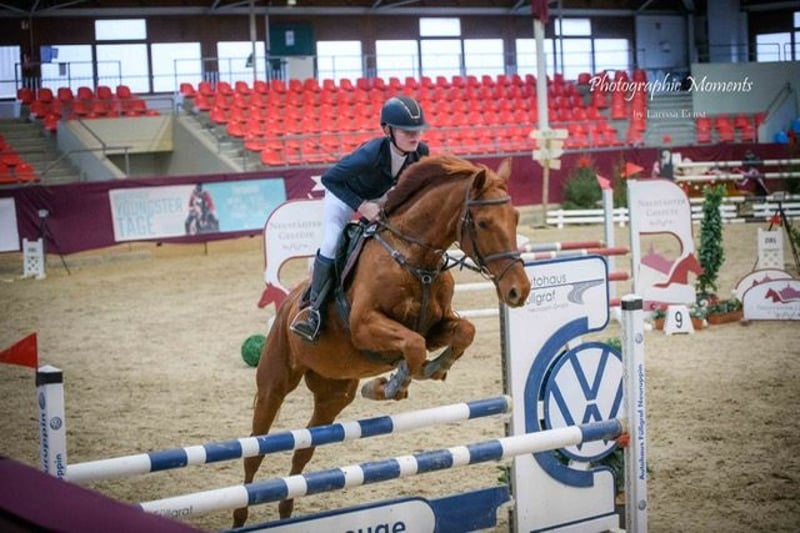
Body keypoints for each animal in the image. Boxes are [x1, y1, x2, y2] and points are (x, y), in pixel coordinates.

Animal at [232, 154, 531, 527]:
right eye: (484, 222)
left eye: (515, 217)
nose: (519, 291)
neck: (415, 257)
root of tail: (287, 306)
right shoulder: (365, 325)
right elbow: (413, 345)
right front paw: (395, 382)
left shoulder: (436, 326)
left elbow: (462, 332)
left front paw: (427, 370)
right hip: (274, 385)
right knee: (254, 451)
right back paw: (240, 514)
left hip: (333, 395)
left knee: (304, 448)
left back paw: (287, 510)